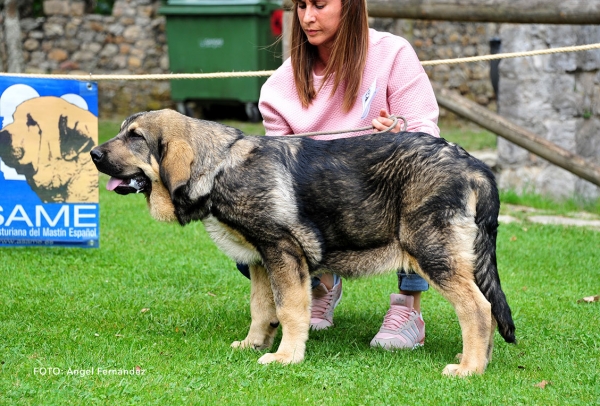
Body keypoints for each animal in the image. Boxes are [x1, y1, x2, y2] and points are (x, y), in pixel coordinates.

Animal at [90, 109, 516, 376]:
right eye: (123, 132)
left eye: (135, 138)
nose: (92, 153)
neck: (221, 166)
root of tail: (475, 166)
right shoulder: (261, 260)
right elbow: (261, 309)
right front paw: (255, 344)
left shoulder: (283, 252)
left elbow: (290, 309)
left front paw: (286, 357)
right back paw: (478, 359)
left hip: (431, 252)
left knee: (478, 309)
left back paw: (468, 369)